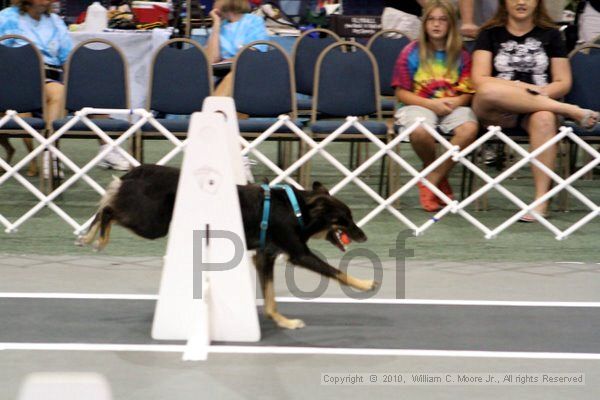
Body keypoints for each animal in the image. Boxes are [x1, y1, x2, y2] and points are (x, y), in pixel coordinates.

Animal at [82, 164, 378, 330]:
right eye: (345, 220)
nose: (364, 236)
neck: (297, 210)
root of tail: (138, 169)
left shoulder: (265, 256)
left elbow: (270, 298)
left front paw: (282, 321)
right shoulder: (298, 254)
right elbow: (337, 272)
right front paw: (366, 284)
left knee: (108, 204)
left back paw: (88, 236)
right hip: (153, 223)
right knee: (108, 208)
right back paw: (96, 237)